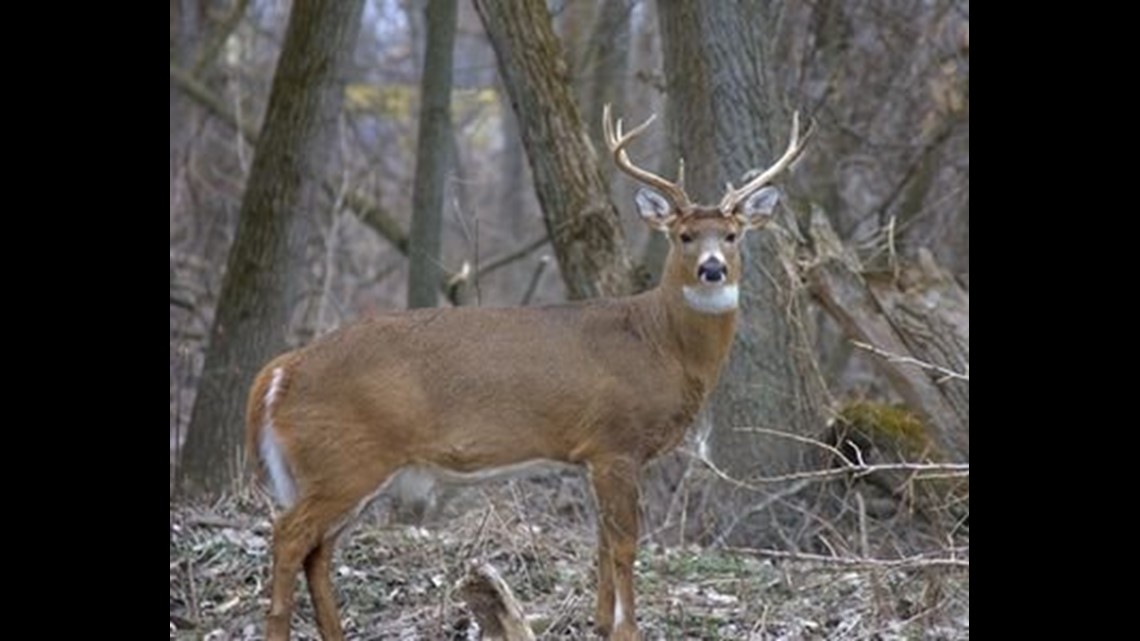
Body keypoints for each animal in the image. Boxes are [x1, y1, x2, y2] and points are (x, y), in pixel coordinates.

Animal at [245, 105, 810, 641]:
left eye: (732, 235)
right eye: (685, 235)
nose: (712, 269)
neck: (659, 342)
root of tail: (280, 370)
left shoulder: (591, 455)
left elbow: (601, 544)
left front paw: (601, 623)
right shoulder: (616, 442)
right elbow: (625, 545)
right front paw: (628, 629)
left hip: (341, 467)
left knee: (317, 550)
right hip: (346, 458)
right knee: (288, 536)